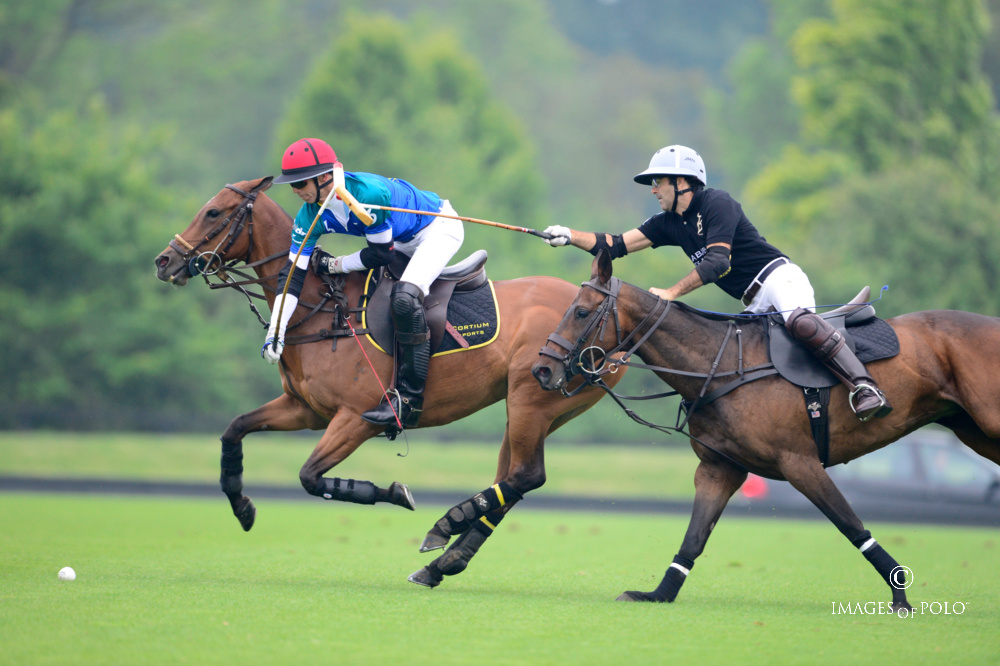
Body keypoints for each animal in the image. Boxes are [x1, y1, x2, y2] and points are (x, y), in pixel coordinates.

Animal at [152, 178, 620, 588]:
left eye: (214, 211)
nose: (164, 261)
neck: (323, 309)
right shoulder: (305, 409)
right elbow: (235, 429)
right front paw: (243, 507)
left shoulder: (357, 417)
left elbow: (310, 477)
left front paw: (398, 493)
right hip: (536, 410)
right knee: (513, 479)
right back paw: (441, 561)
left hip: (532, 399)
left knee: (526, 475)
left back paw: (443, 533)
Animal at [536, 249, 1000, 608]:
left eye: (580, 311)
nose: (542, 370)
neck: (721, 365)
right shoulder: (720, 468)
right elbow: (694, 538)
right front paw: (657, 594)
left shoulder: (800, 463)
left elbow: (852, 526)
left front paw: (900, 597)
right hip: (972, 429)